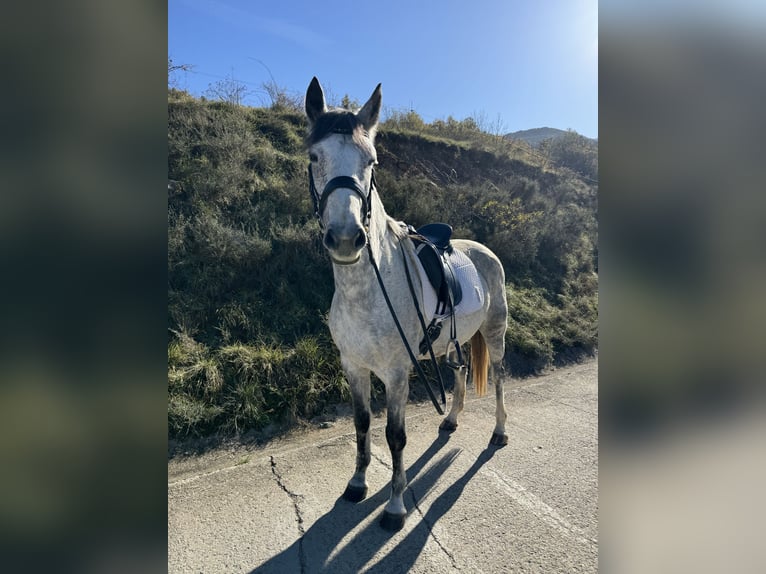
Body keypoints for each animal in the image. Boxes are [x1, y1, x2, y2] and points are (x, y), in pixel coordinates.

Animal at [304, 79, 510, 532]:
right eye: (314, 156)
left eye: (371, 161)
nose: (345, 239)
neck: (365, 293)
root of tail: (486, 251)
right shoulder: (354, 366)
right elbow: (362, 423)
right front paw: (357, 483)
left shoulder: (397, 375)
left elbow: (394, 437)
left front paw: (395, 507)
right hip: (452, 343)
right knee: (460, 371)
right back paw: (450, 420)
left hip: (494, 334)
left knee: (500, 378)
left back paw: (500, 432)